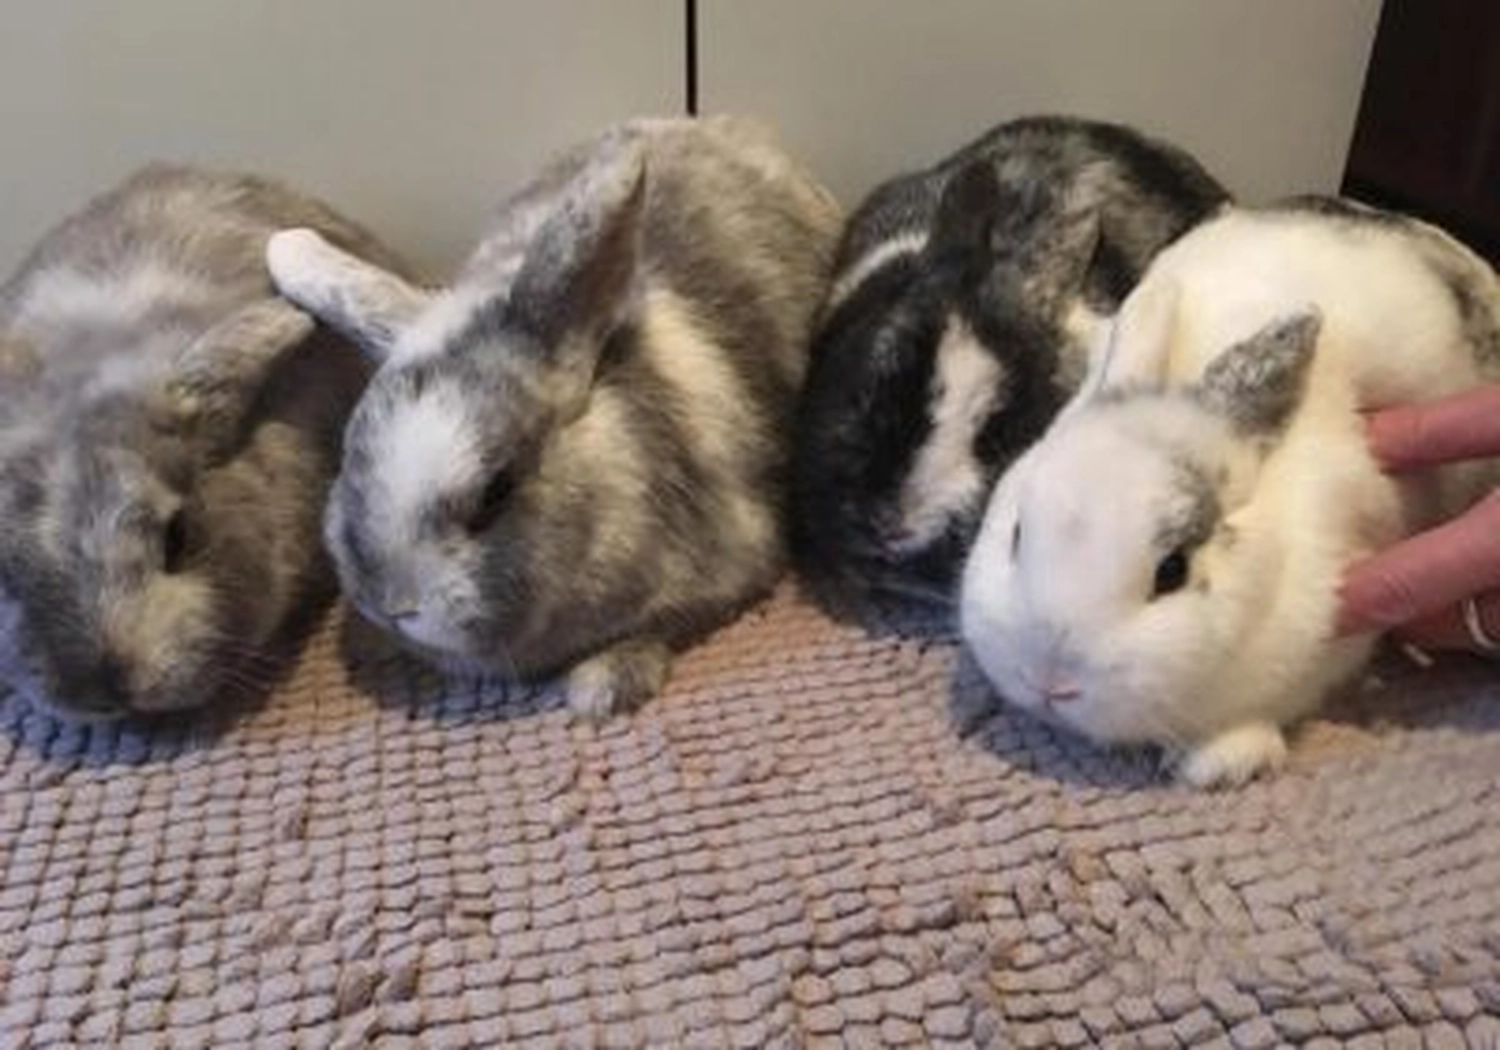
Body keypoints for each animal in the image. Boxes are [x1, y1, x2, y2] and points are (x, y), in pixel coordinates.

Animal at [264, 116, 844, 719]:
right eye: (349, 449)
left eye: (495, 491)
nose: (393, 603)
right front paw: (371, 642)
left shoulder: (738, 564)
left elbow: (662, 627)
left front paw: (601, 686)